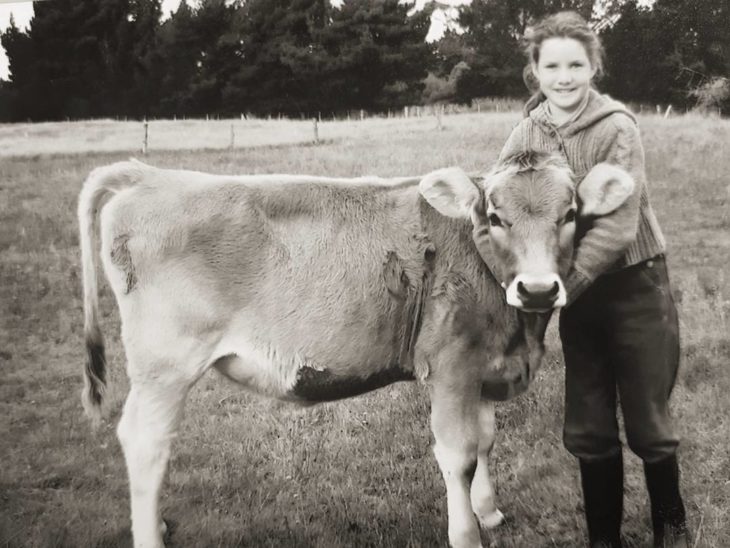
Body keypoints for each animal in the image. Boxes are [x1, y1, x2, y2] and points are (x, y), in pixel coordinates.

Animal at [75, 152, 632, 548]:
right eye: (495, 216)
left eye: (570, 214)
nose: (537, 289)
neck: (520, 331)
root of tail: (148, 175)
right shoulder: (450, 365)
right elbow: (458, 454)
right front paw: (467, 533)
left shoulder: (485, 364)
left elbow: (486, 441)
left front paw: (489, 511)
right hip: (165, 366)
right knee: (146, 443)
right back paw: (149, 536)